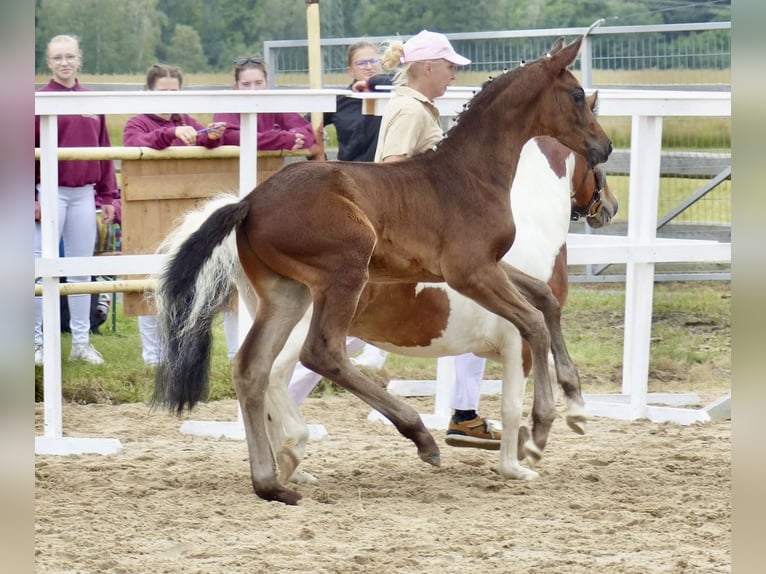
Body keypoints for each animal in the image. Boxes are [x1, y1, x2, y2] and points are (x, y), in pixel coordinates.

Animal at [153, 37, 616, 504]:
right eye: (577, 95)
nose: (607, 146)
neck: (472, 175)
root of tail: (248, 202)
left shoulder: (488, 265)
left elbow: (544, 299)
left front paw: (576, 405)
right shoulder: (470, 272)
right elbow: (534, 322)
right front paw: (538, 431)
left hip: (287, 293)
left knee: (252, 367)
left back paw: (271, 483)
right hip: (346, 271)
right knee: (319, 353)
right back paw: (416, 435)